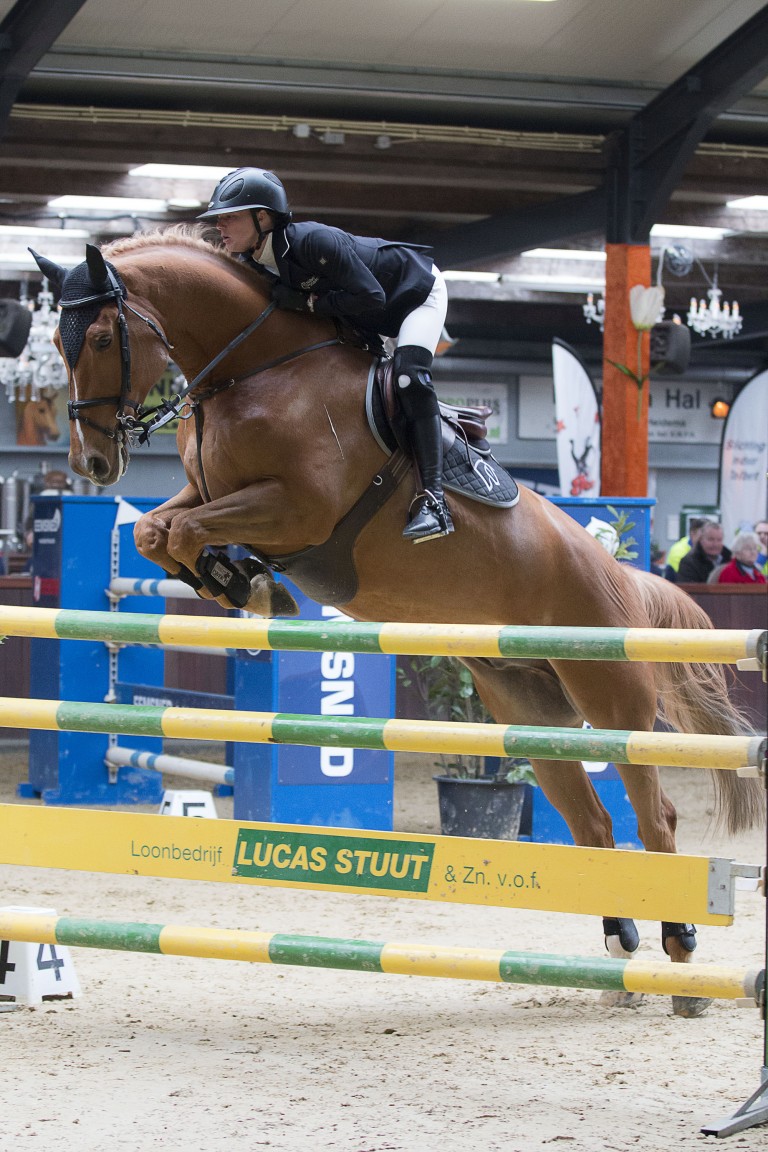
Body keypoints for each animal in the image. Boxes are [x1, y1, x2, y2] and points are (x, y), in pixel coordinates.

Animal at [31, 226, 764, 1018]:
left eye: (102, 335)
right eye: (59, 342)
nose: (92, 462)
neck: (254, 371)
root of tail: (621, 569)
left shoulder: (297, 509)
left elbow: (188, 529)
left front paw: (249, 585)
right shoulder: (208, 493)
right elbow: (154, 532)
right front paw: (241, 583)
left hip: (610, 695)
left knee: (655, 816)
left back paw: (681, 957)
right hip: (533, 713)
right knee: (593, 822)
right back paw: (621, 950)